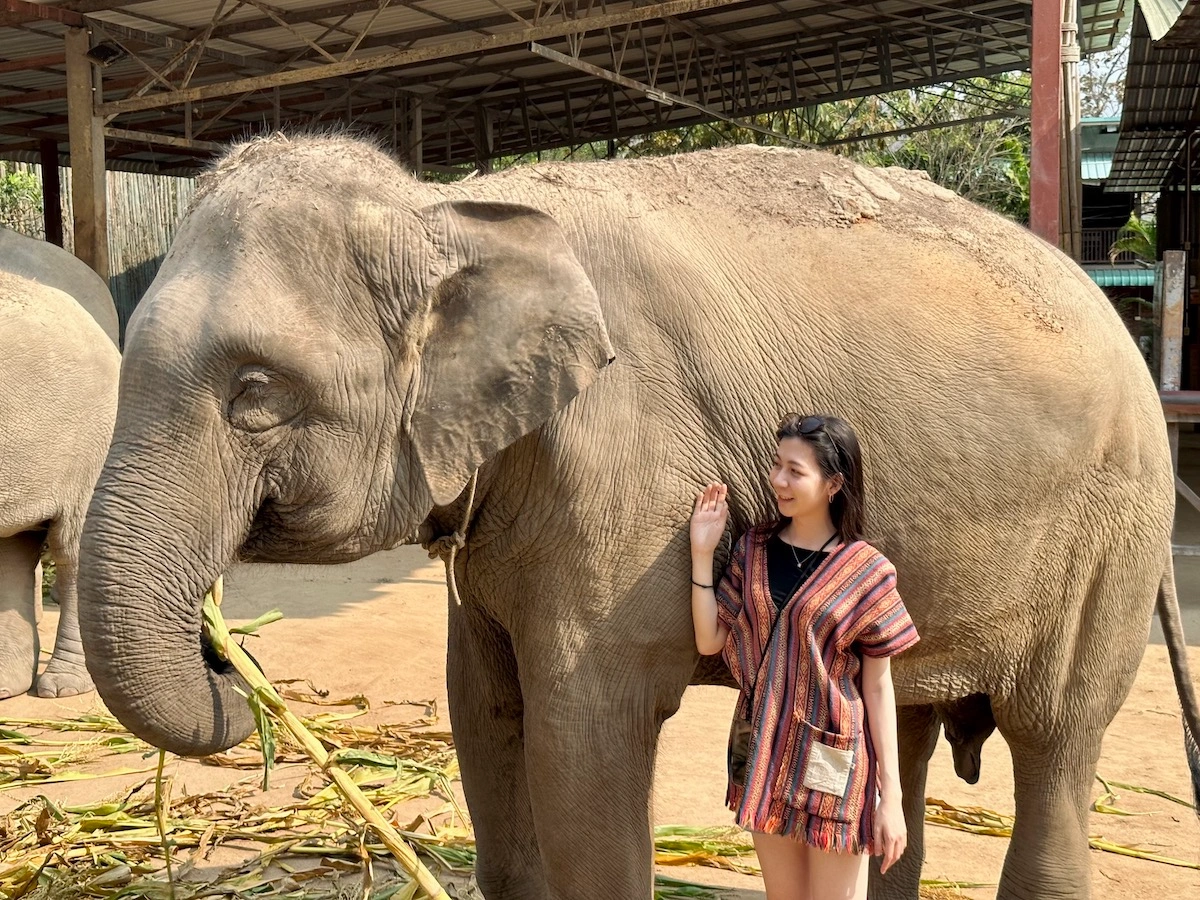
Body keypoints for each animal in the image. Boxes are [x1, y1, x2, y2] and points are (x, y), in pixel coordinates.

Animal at [77, 134, 1200, 900]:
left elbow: (582, 741)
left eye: (256, 395)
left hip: (1113, 535)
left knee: (1055, 740)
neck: (448, 212)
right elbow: (485, 714)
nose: (230, 664)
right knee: (904, 749)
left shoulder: (623, 483)